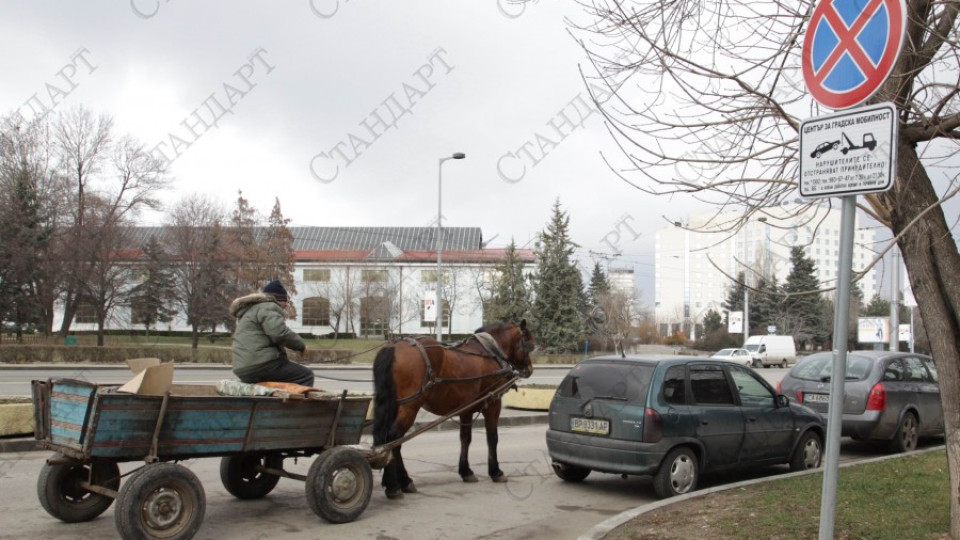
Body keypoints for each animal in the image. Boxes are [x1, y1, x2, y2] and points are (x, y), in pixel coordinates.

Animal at [372, 318, 536, 500]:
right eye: (528, 342)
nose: (530, 369)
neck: (490, 351)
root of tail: (394, 346)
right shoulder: (493, 404)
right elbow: (492, 438)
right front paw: (496, 472)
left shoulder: (466, 409)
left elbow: (465, 438)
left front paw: (466, 471)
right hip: (409, 407)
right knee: (393, 439)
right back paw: (396, 484)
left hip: (394, 406)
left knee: (391, 441)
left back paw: (398, 481)